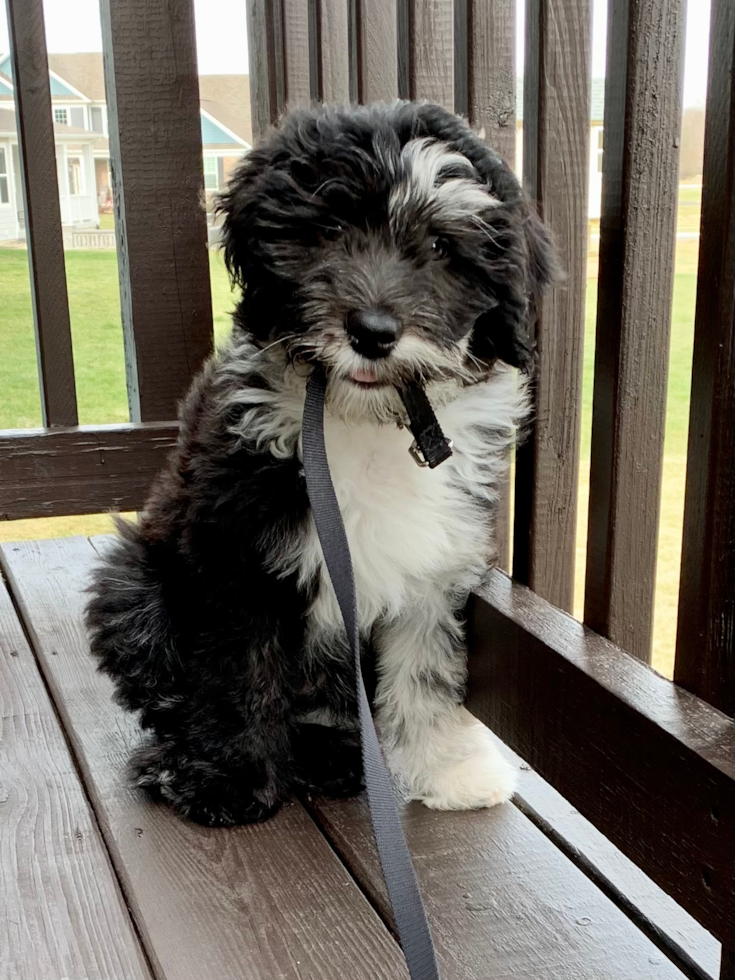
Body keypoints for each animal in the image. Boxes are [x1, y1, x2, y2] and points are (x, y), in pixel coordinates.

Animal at [86, 101, 556, 828]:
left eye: (442, 249)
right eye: (331, 228)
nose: (373, 331)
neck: (356, 419)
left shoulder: (434, 559)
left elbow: (425, 664)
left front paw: (445, 766)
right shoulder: (237, 554)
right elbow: (239, 669)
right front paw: (228, 774)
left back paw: (332, 751)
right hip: (134, 585)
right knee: (165, 679)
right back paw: (177, 753)